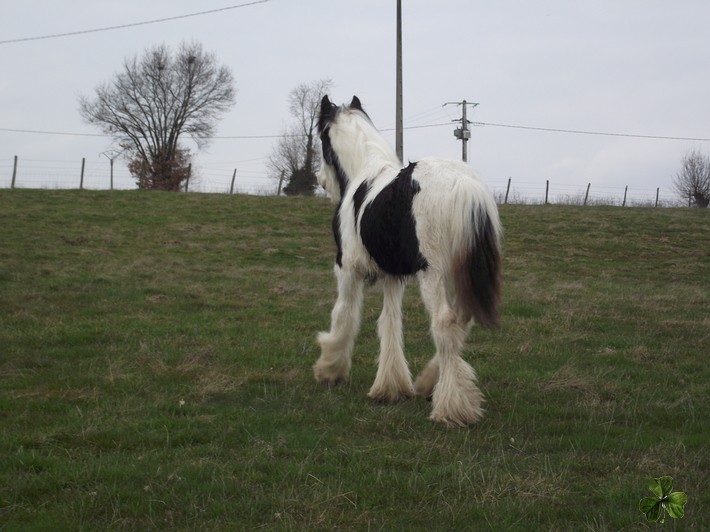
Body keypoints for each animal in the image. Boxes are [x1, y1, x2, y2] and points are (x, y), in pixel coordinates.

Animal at [314, 95, 504, 428]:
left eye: (320, 138)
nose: (319, 180)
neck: (364, 172)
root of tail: (464, 187)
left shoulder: (347, 269)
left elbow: (344, 316)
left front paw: (329, 369)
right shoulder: (393, 276)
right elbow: (390, 322)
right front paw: (391, 388)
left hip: (433, 275)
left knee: (444, 323)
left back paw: (450, 409)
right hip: (460, 275)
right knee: (461, 322)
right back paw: (430, 383)